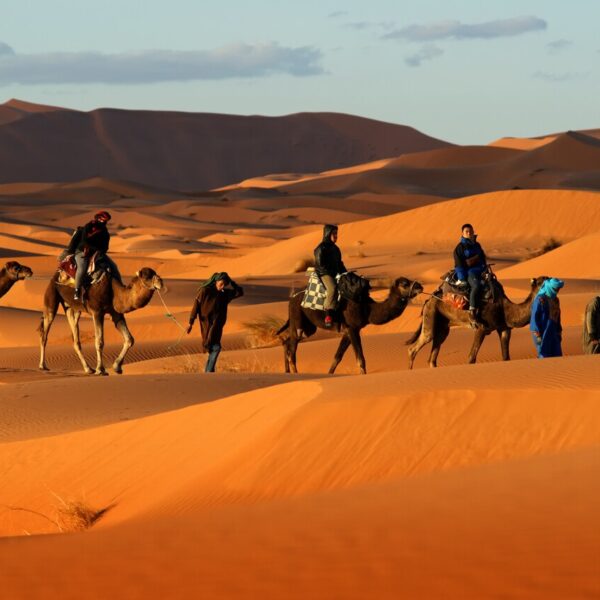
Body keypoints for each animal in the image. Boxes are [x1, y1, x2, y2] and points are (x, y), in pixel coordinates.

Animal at [276, 278, 422, 376]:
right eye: (404, 284)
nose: (419, 286)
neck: (368, 308)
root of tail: (291, 299)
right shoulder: (353, 328)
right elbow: (360, 359)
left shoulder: (347, 331)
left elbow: (337, 357)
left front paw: (329, 375)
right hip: (298, 319)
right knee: (292, 350)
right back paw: (295, 373)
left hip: (309, 327)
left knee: (287, 342)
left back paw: (287, 372)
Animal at [404, 274, 548, 368]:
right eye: (543, 281)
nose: (552, 280)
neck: (505, 308)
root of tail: (428, 300)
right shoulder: (481, 328)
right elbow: (471, 358)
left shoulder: (504, 328)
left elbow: (506, 357)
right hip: (431, 315)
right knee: (415, 347)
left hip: (443, 326)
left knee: (433, 355)